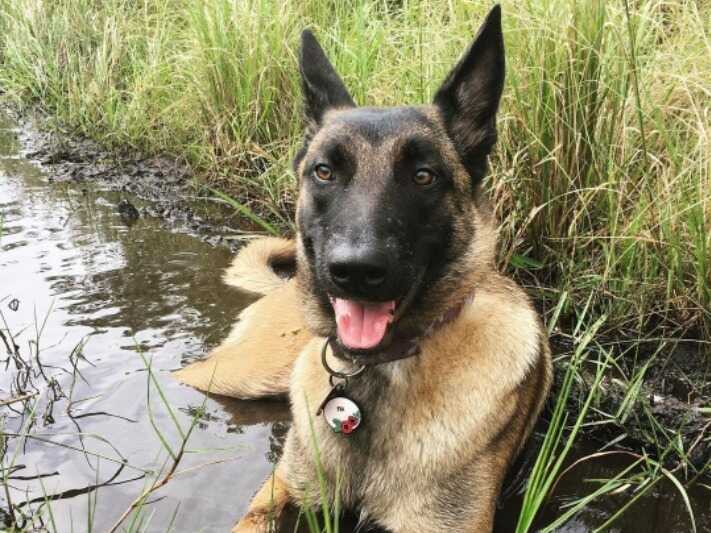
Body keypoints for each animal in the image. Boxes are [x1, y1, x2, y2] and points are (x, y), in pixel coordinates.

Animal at [175, 6, 552, 528]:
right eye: (324, 172)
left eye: (423, 176)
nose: (354, 271)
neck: (372, 376)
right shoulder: (283, 490)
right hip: (239, 376)